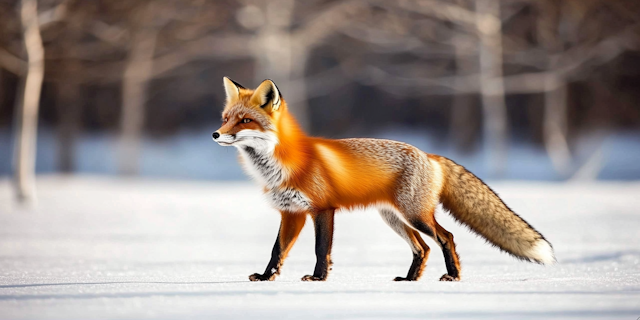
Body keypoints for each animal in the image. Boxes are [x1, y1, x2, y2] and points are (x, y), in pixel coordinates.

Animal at [212, 77, 552, 282]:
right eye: (226, 118)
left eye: (245, 120)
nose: (215, 134)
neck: (281, 165)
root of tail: (430, 155)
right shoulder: (291, 213)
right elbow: (277, 251)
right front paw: (266, 278)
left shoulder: (322, 209)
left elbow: (321, 250)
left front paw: (319, 278)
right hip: (394, 218)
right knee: (422, 249)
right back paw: (410, 280)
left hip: (416, 216)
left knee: (446, 238)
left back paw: (453, 276)